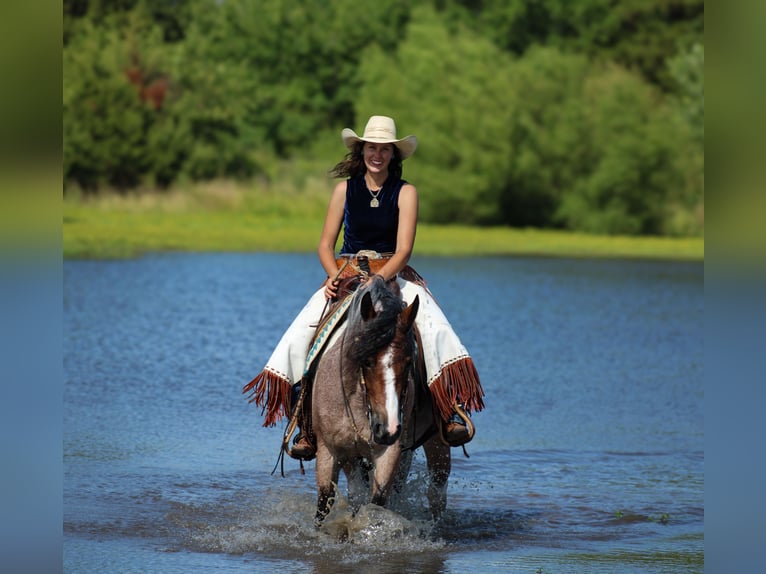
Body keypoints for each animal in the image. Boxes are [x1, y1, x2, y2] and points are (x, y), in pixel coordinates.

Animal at [310, 275, 451, 526]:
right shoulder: (331, 450)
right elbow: (325, 504)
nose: (388, 429)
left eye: (409, 362)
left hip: (436, 444)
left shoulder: (389, 453)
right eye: (366, 361)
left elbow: (376, 503)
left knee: (437, 489)